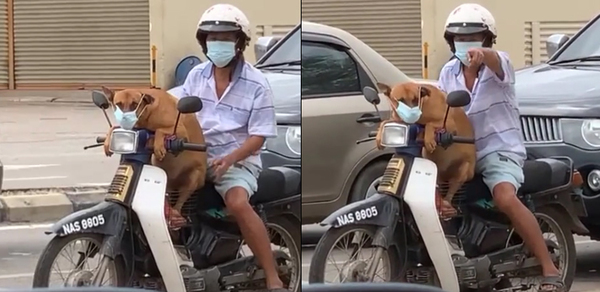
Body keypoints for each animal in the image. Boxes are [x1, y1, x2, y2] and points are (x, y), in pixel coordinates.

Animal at [102, 86, 207, 226]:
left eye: (134, 104)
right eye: (118, 104)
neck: (147, 111)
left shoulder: (180, 131)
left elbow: (159, 130)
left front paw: (157, 144)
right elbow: (114, 127)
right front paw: (108, 141)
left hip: (193, 178)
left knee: (179, 203)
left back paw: (175, 215)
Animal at [378, 82, 476, 214]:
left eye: (416, 99)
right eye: (400, 100)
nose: (412, 114)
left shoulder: (449, 124)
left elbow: (430, 124)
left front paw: (428, 137)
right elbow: (384, 123)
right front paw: (379, 136)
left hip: (463, 170)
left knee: (451, 191)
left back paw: (446, 204)